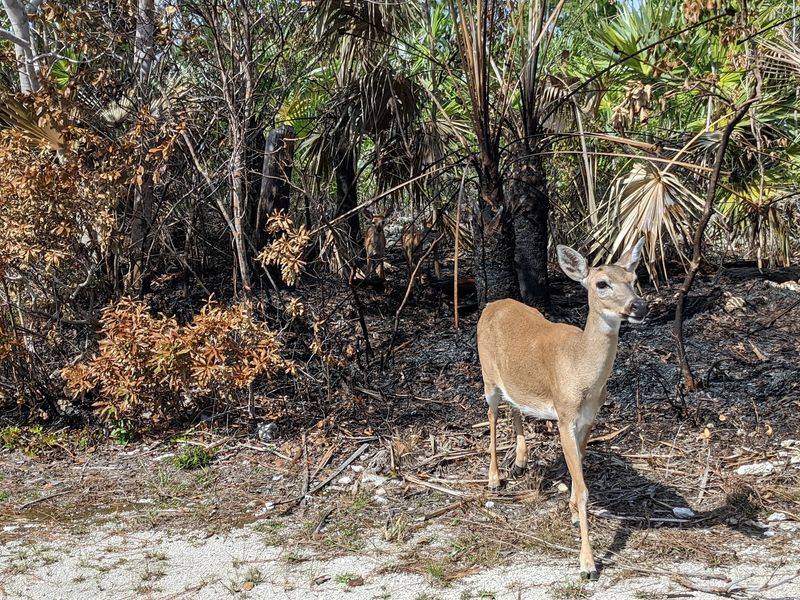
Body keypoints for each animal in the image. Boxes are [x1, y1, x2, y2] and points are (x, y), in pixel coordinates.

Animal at [476, 238, 648, 581]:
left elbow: (577, 468)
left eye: (634, 279)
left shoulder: (589, 419)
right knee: (491, 414)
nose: (639, 306)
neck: (581, 371)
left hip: (514, 381)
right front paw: (587, 564)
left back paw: (521, 462)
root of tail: (491, 305)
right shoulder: (564, 416)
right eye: (601, 283)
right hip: (487, 375)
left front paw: (572, 513)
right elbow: (583, 489)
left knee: (515, 406)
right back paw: (494, 478)